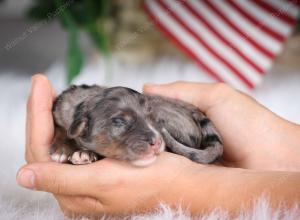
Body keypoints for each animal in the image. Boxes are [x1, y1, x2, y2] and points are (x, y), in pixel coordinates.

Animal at [51, 85, 223, 166]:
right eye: (119, 122)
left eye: (152, 117)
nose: (158, 142)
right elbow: (61, 129)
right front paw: (62, 148)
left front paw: (84, 154)